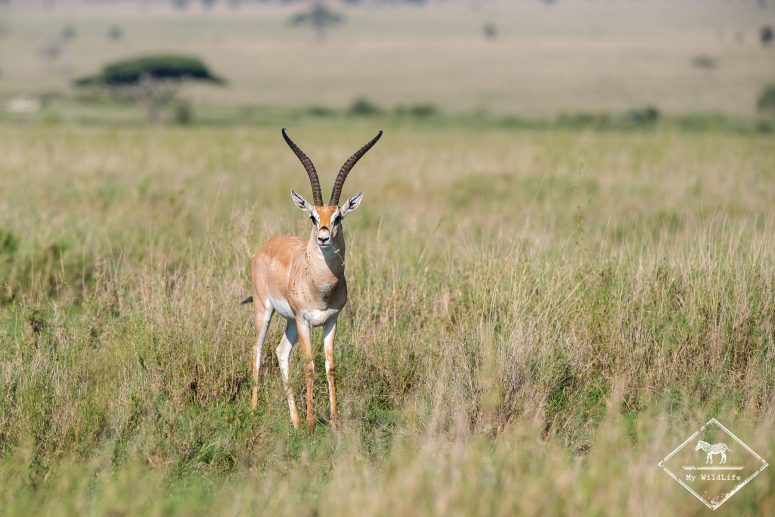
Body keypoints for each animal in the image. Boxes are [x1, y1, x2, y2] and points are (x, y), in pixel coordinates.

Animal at [243, 128, 382, 430]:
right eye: (312, 216)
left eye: (339, 217)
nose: (323, 237)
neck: (320, 286)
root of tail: (266, 246)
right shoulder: (305, 320)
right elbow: (309, 365)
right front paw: (310, 423)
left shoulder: (331, 320)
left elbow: (329, 366)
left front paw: (334, 419)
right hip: (265, 310)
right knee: (257, 350)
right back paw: (255, 410)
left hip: (289, 322)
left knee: (281, 352)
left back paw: (293, 421)